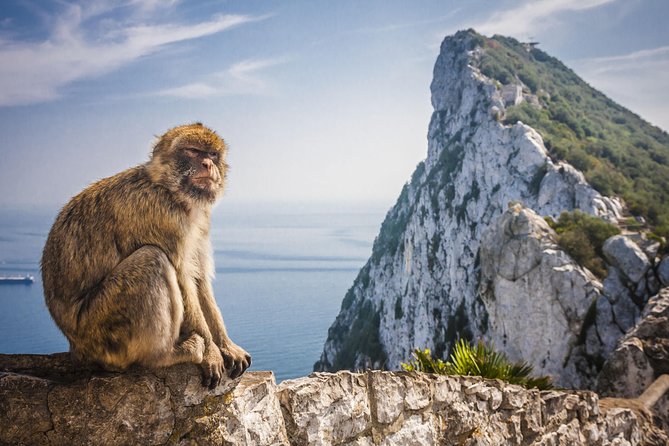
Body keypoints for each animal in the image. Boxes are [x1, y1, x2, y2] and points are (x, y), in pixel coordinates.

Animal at [41, 122, 250, 386]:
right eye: (193, 151)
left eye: (212, 154)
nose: (207, 164)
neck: (169, 190)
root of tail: (75, 348)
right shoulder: (162, 214)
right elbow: (183, 278)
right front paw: (212, 352)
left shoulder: (200, 220)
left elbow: (199, 278)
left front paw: (226, 345)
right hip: (100, 331)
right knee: (152, 258)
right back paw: (165, 355)